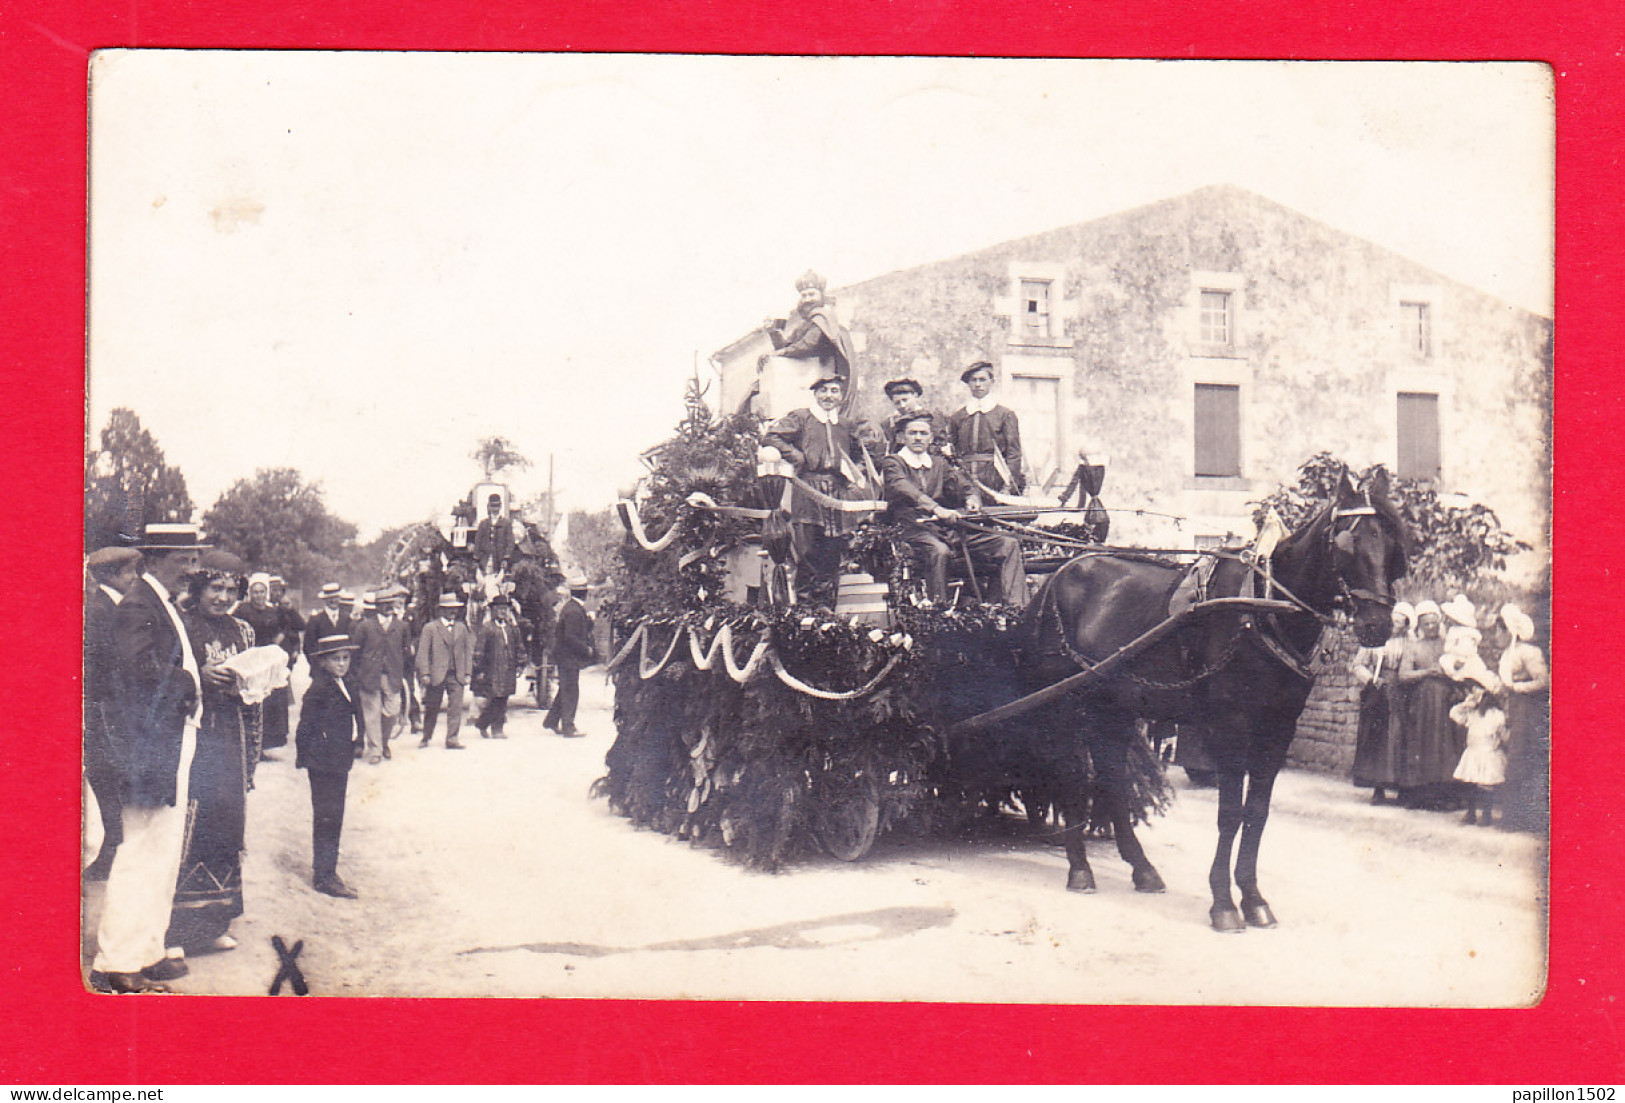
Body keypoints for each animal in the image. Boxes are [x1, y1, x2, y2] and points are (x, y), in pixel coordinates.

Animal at [1007, 464, 1404, 929]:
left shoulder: (1278, 728)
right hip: (1067, 705)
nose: (1378, 625)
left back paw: (1141, 868)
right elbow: (1230, 813)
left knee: (1110, 777)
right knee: (1071, 775)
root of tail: (1054, 578)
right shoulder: (1231, 724)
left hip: (1115, 709)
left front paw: (1253, 898)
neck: (1264, 608)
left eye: (1393, 546)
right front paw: (1224, 904)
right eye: (1347, 544)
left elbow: (1257, 813)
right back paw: (1080, 869)